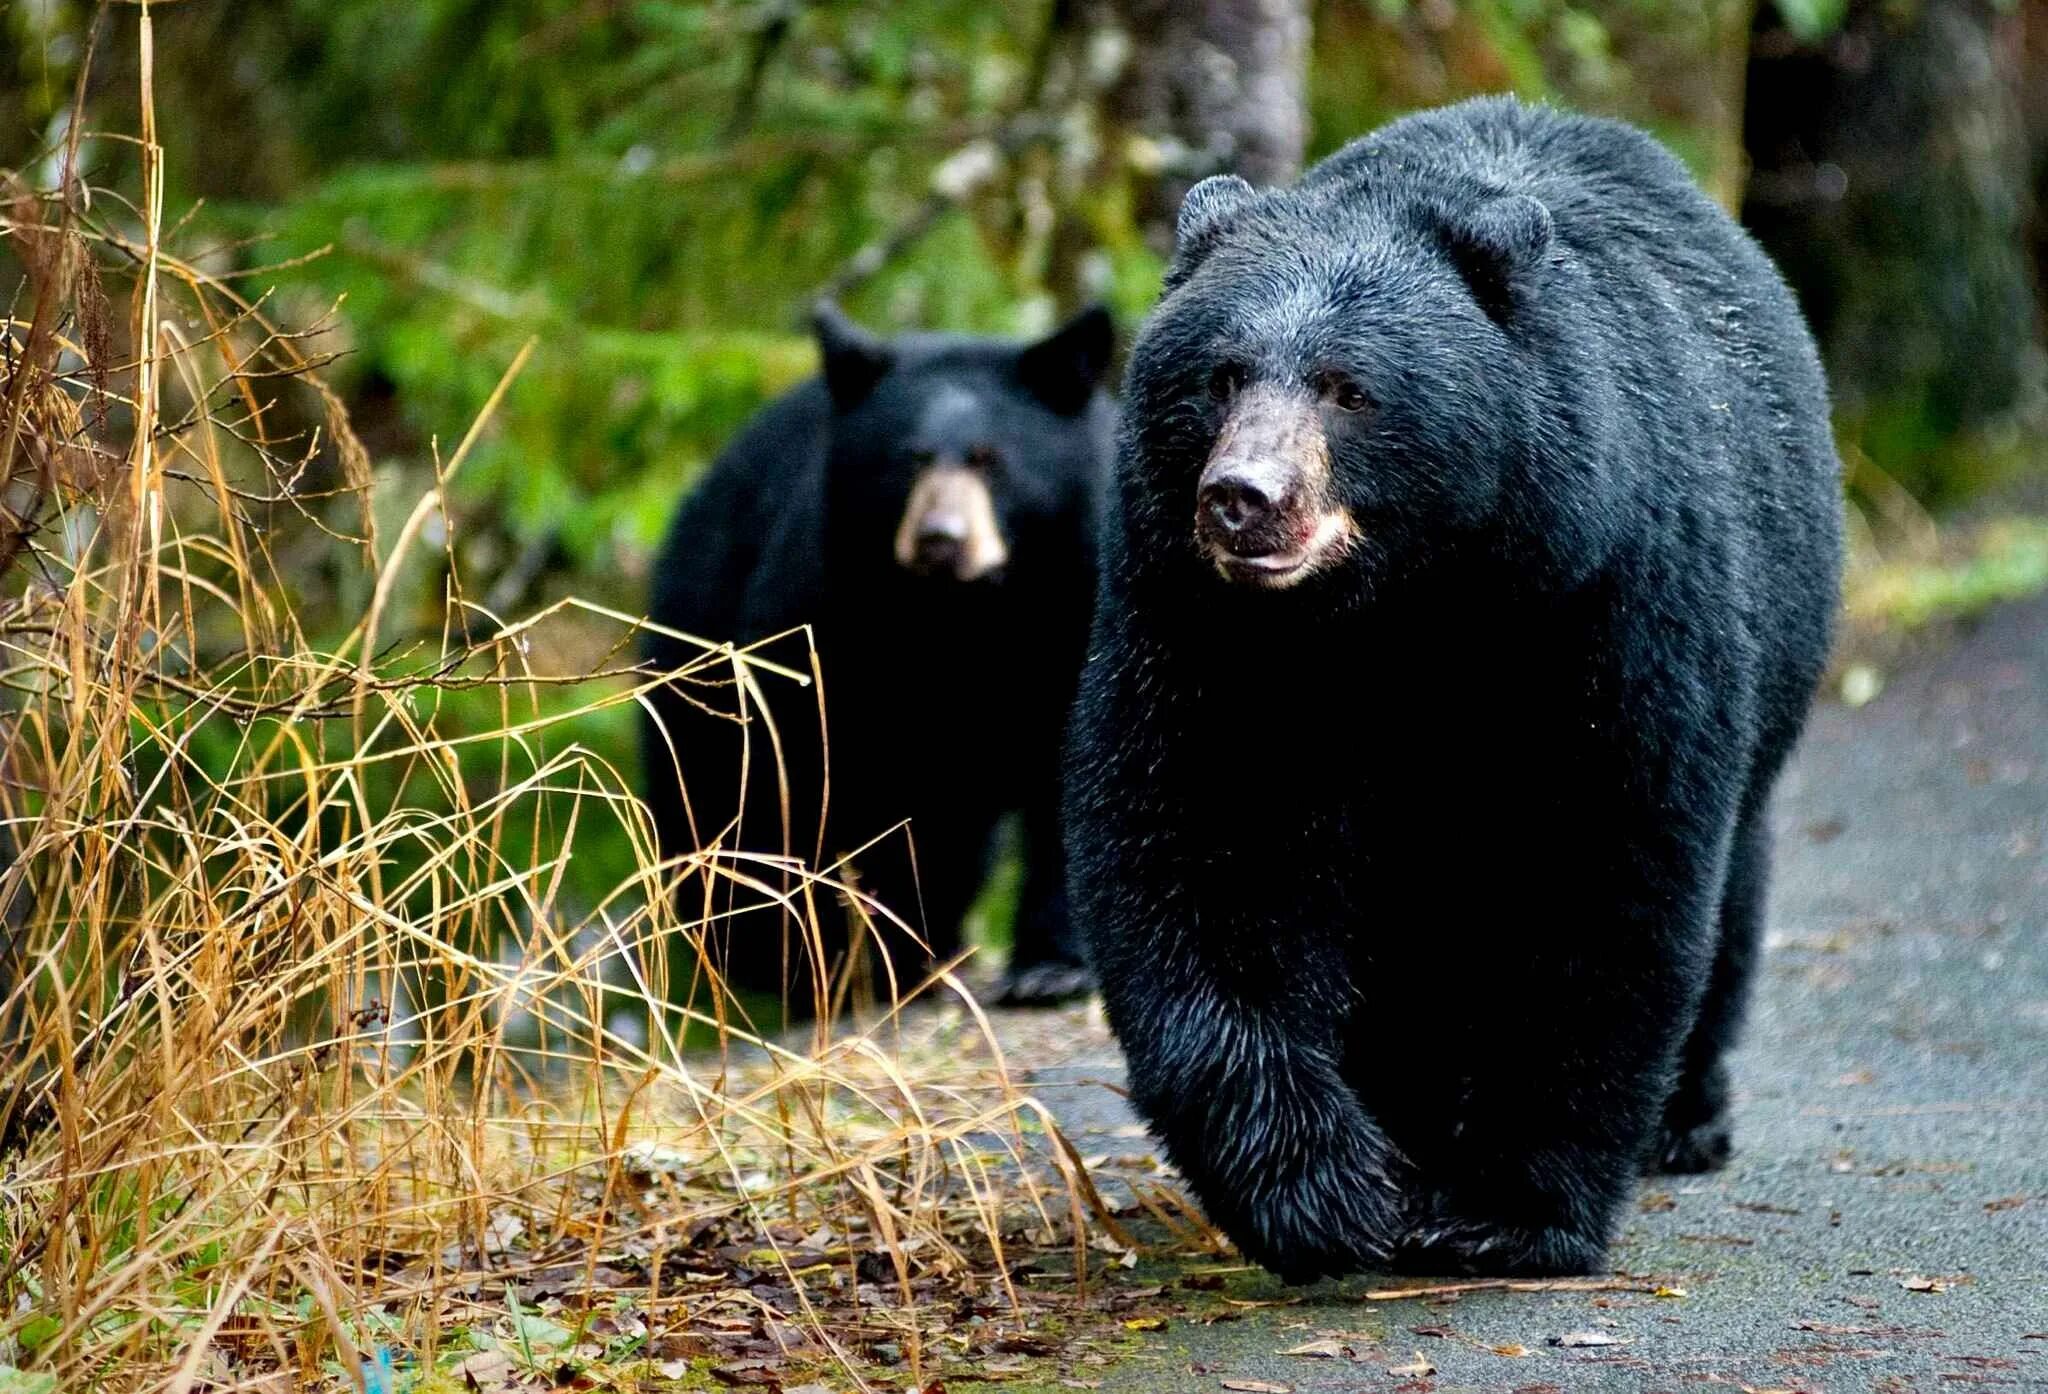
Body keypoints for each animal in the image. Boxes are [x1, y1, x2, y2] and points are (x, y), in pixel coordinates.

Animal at [647, 298, 1114, 1007]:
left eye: (990, 459)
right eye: (911, 459)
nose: (941, 540)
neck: (967, 616)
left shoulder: (1079, 608)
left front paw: (1049, 970)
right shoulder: (830, 618)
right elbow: (836, 778)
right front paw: (879, 958)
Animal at [1064, 92, 1851, 1277]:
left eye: (1348, 388)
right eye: (1222, 373)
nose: (1242, 498)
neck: (1404, 614)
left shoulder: (1603, 596)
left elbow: (1601, 863)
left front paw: (1501, 1205)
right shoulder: (1206, 634)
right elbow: (1205, 848)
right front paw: (1319, 1184)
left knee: (1730, 875)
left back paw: (1684, 1117)